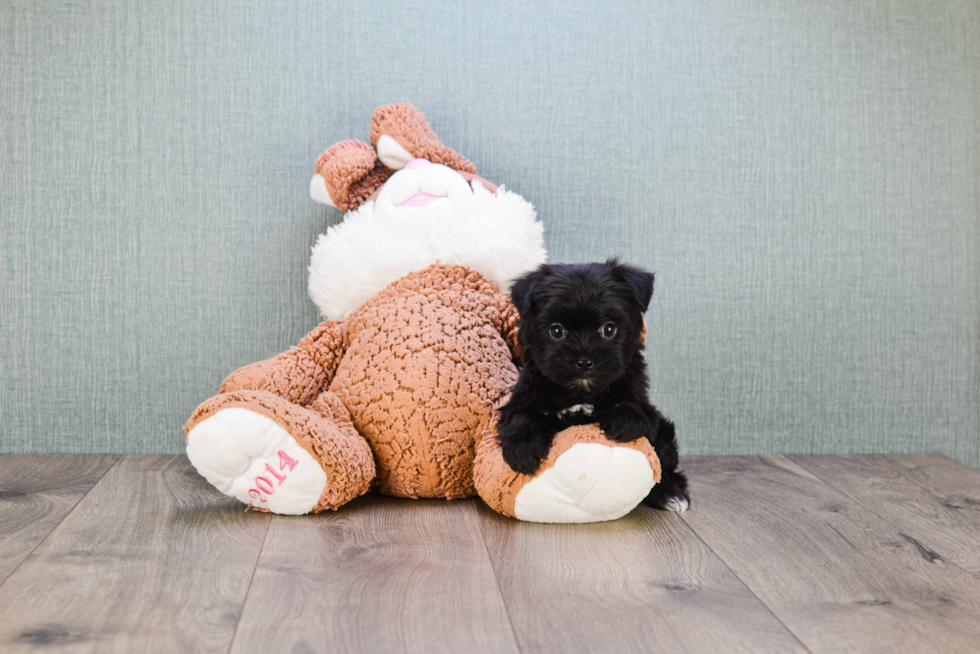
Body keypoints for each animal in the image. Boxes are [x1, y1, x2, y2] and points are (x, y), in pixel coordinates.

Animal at [498, 260, 688, 512]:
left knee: (665, 459)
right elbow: (521, 417)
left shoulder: (644, 404)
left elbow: (636, 410)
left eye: (609, 329)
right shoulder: (521, 399)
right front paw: (523, 448)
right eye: (556, 331)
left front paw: (624, 421)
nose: (584, 361)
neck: (582, 394)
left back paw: (671, 493)